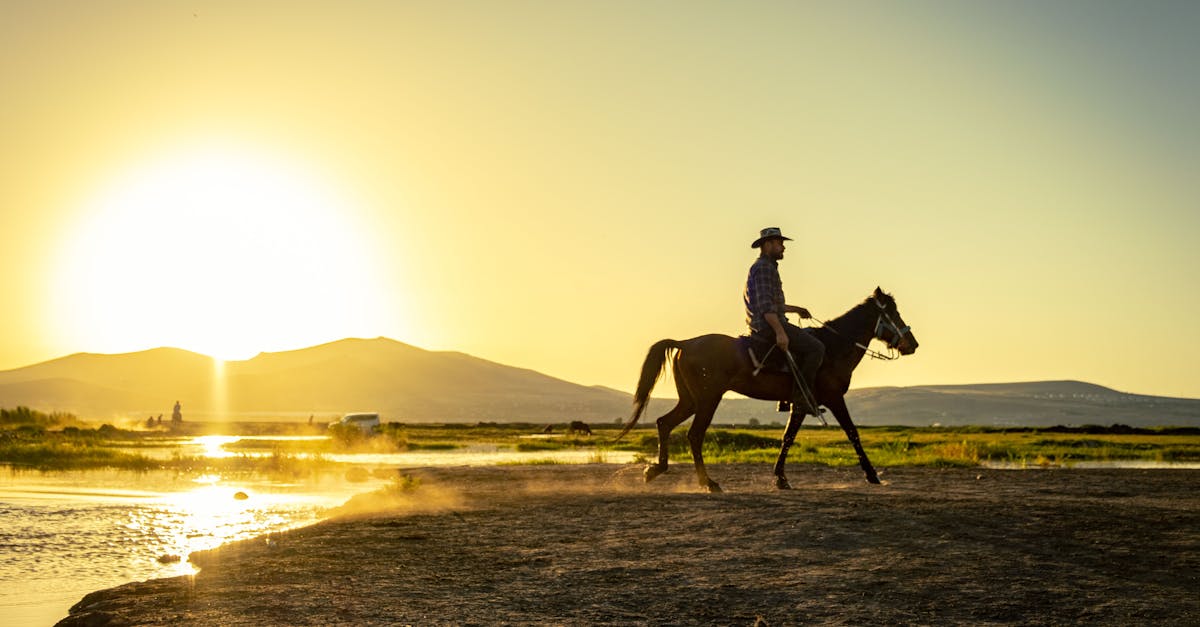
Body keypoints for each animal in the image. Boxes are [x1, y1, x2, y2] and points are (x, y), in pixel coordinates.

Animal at [619, 285, 916, 490]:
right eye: (893, 313)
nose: (912, 344)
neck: (833, 348)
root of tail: (685, 343)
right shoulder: (832, 398)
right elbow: (853, 433)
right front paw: (872, 474)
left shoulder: (801, 403)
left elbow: (788, 437)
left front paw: (780, 478)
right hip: (707, 399)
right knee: (694, 435)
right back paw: (708, 482)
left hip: (690, 400)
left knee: (664, 423)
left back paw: (655, 470)